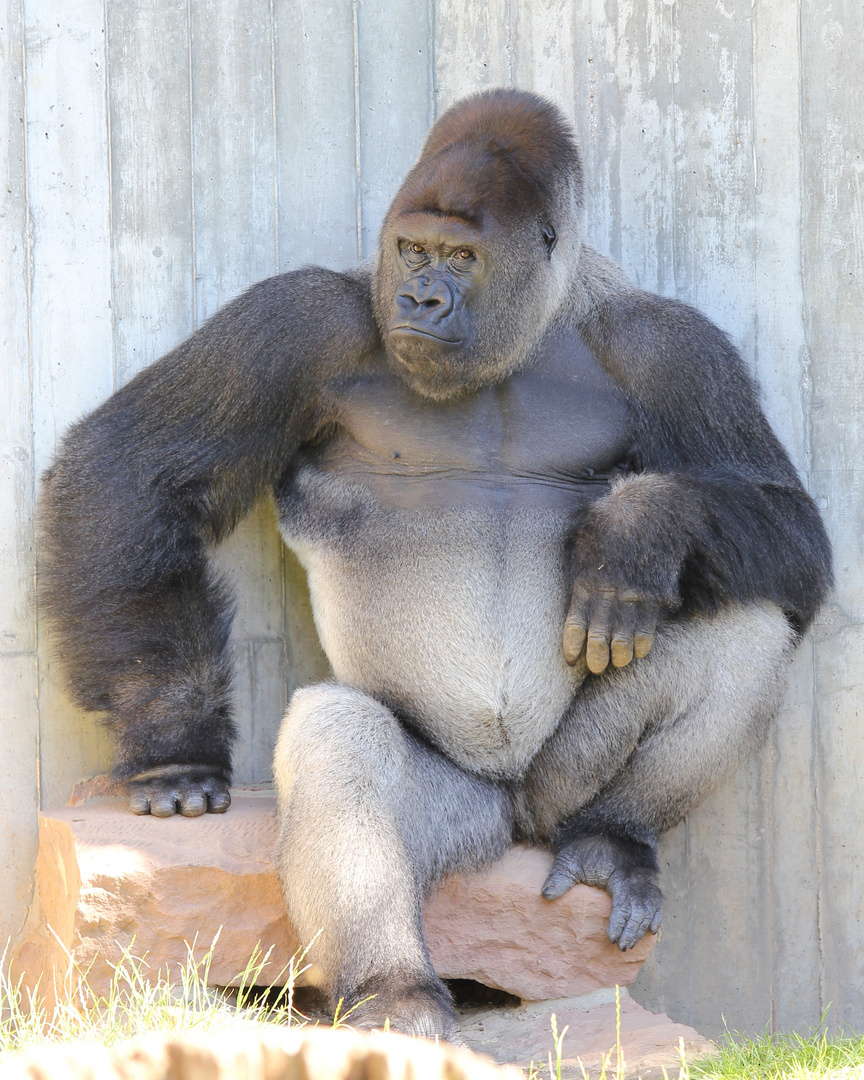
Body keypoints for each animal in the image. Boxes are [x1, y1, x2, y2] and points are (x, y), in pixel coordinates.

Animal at [38, 90, 829, 1036]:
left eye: (463, 257)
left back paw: (615, 836)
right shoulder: (299, 320)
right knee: (342, 740)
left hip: (553, 793)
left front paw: (641, 526)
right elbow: (136, 467)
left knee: (746, 626)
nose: (418, 296)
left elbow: (795, 531)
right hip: (461, 811)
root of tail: (512, 819)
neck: (530, 328)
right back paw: (393, 992)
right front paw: (171, 743)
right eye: (413, 249)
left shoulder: (671, 344)